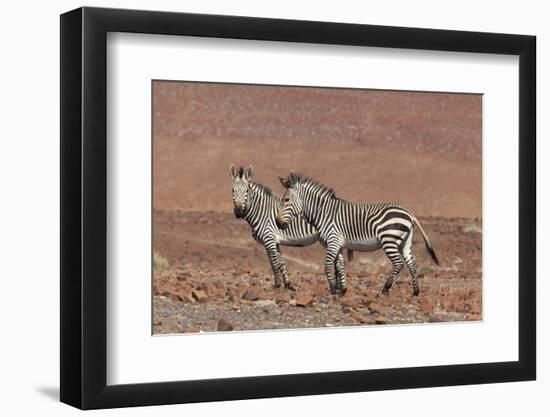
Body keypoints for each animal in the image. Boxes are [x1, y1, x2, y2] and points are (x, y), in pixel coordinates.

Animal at [278, 171, 442, 296]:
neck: (323, 213)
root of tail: (409, 213)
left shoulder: (333, 241)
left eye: (286, 200)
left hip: (389, 240)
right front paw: (342, 290)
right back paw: (415, 291)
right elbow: (340, 265)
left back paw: (386, 288)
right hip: (405, 241)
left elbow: (328, 266)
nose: (278, 223)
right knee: (411, 263)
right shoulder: (337, 244)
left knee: (399, 263)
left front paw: (333, 290)